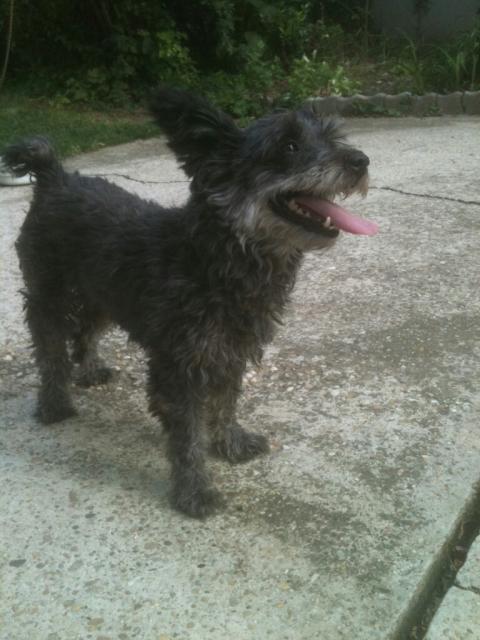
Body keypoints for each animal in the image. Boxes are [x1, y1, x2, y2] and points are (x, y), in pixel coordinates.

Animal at [3, 88, 377, 518]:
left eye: (333, 138)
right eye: (289, 146)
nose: (360, 160)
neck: (212, 260)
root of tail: (54, 176)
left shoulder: (231, 351)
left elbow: (225, 403)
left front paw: (230, 443)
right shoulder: (180, 365)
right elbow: (187, 435)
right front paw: (194, 490)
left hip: (103, 294)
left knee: (84, 332)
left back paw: (91, 368)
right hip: (48, 294)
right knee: (50, 350)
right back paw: (54, 402)